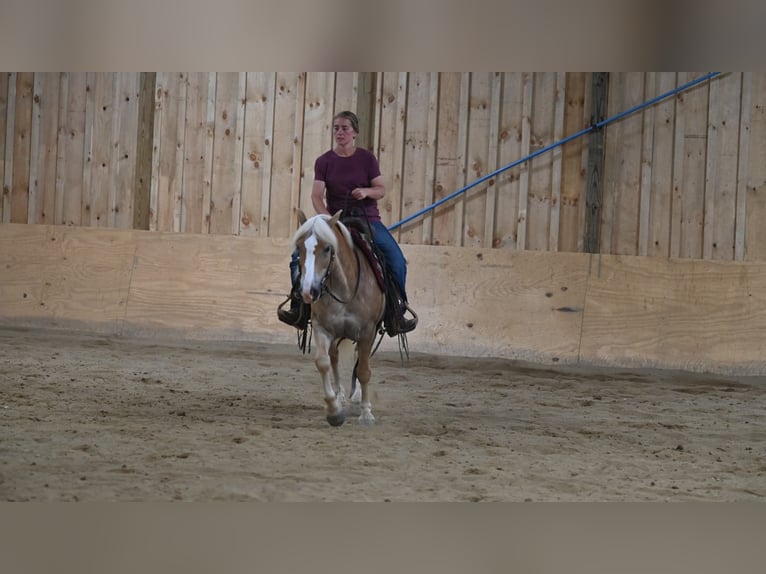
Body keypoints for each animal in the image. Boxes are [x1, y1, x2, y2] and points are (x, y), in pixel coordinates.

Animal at [294, 210, 390, 428]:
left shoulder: (367, 332)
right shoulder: (323, 329)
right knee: (335, 358)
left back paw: (357, 396)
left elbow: (363, 370)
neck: (345, 290)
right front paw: (334, 410)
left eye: (327, 248)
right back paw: (340, 397)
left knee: (359, 361)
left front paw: (366, 413)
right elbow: (323, 362)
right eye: (299, 247)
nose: (308, 291)